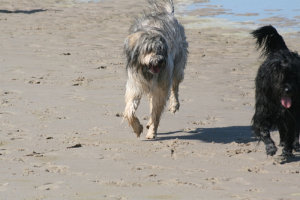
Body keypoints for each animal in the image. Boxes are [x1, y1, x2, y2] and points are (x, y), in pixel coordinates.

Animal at [122, 0, 188, 139]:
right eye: (149, 49)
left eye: (161, 49)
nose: (160, 60)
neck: (147, 72)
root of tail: (168, 13)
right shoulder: (135, 85)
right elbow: (129, 111)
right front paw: (137, 128)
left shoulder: (161, 85)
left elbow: (156, 111)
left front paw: (152, 131)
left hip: (178, 65)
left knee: (175, 86)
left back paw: (174, 105)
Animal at [251, 25, 300, 157]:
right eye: (280, 77)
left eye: (295, 76)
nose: (289, 90)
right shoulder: (263, 110)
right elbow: (263, 130)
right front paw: (270, 147)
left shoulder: (292, 112)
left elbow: (291, 131)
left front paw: (287, 150)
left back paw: (294, 145)